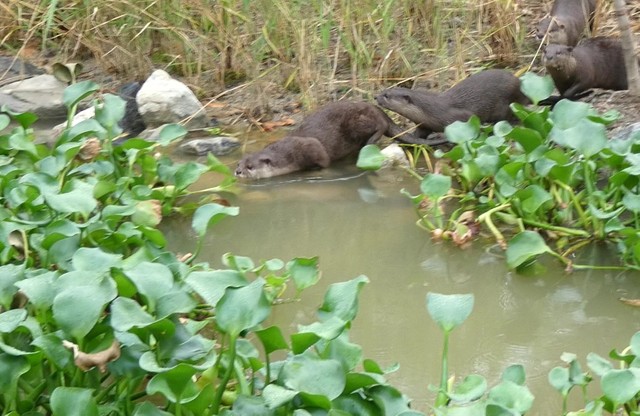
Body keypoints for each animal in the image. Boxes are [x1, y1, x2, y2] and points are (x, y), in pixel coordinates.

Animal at [232, 101, 418, 180]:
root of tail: (377, 109)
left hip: (358, 121)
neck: (286, 154)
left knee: (380, 126)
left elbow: (324, 160)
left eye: (250, 166)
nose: (238, 172)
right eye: (239, 164)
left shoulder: (310, 147)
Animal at [378, 68, 528, 139]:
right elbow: (420, 133)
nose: (375, 96)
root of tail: (519, 84)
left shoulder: (459, 115)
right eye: (384, 91)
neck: (432, 111)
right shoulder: (424, 124)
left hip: (505, 105)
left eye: (386, 96)